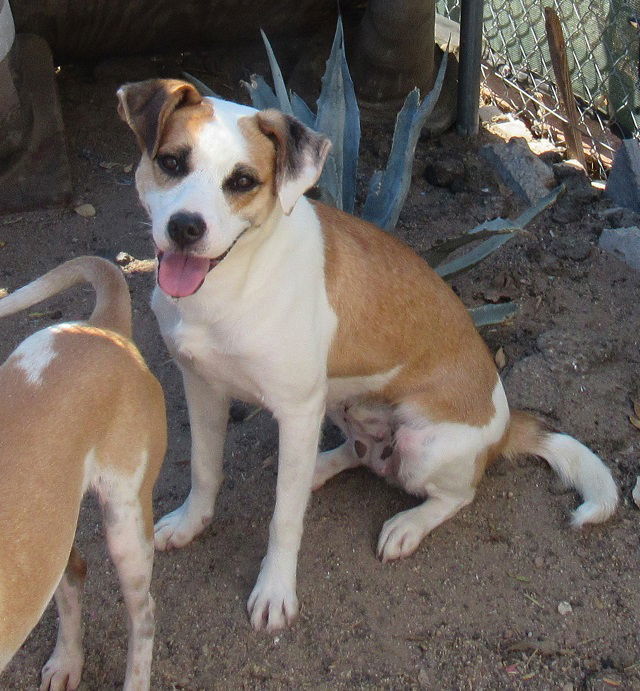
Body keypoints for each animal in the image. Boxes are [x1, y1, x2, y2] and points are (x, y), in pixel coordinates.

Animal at [0, 256, 168, 688]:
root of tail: (101, 327)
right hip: (51, 530)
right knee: (73, 570)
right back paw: (66, 661)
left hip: (127, 525)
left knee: (144, 616)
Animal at [116, 79, 620, 632]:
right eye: (171, 162)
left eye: (243, 181)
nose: (185, 227)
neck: (229, 286)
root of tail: (504, 426)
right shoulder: (202, 387)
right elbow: (205, 469)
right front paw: (191, 523)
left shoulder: (296, 410)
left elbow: (284, 518)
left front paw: (275, 590)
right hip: (342, 404)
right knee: (358, 455)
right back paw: (320, 468)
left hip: (423, 446)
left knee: (456, 492)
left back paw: (408, 524)